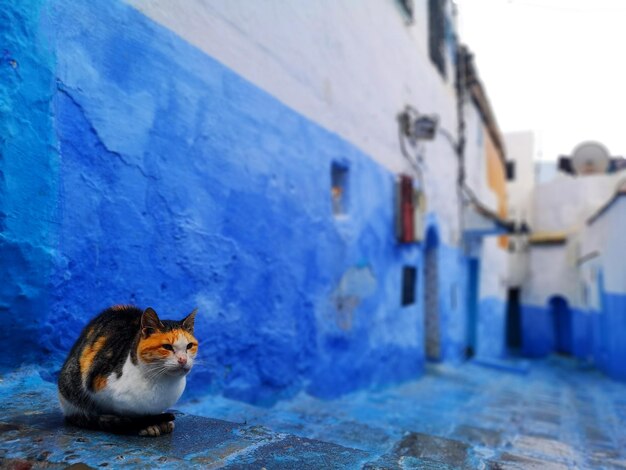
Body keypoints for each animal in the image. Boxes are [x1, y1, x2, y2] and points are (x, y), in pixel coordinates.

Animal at [58, 304, 197, 436]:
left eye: (189, 346)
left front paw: (161, 421)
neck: (162, 382)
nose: (183, 360)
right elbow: (130, 414)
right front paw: (149, 425)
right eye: (167, 347)